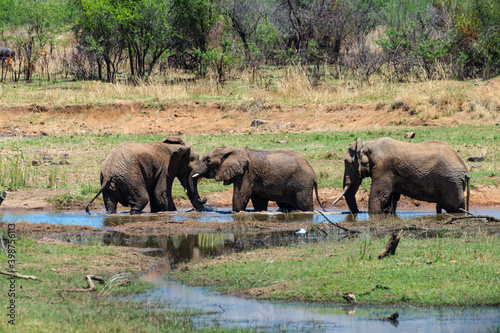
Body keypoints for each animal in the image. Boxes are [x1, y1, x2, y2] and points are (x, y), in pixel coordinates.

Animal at [334, 137, 470, 213]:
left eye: (346, 162)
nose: (356, 213)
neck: (368, 144)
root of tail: (466, 171)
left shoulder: (384, 168)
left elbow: (379, 197)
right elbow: (391, 198)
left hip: (451, 183)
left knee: (455, 207)